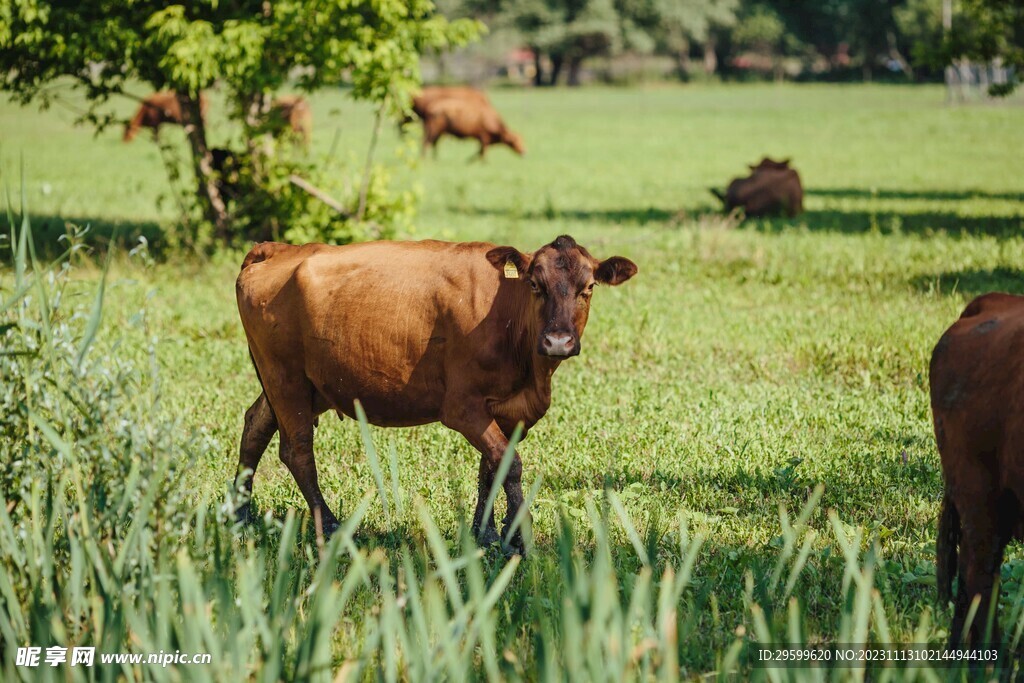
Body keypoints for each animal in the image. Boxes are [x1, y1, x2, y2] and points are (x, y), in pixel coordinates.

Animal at [235, 237, 634, 552]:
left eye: (589, 287)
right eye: (536, 284)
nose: (557, 341)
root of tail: (279, 249)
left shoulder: (510, 410)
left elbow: (491, 468)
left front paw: (486, 532)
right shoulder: (462, 407)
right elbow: (510, 463)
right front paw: (518, 535)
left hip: (301, 385)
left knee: (255, 425)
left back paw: (239, 514)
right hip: (285, 378)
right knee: (297, 450)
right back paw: (331, 526)